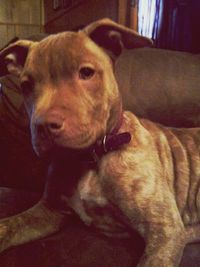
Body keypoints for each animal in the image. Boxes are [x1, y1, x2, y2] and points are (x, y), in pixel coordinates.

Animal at [0, 17, 200, 266]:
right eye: (26, 85)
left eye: (86, 73)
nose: (43, 125)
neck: (92, 157)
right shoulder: (49, 211)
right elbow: (7, 225)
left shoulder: (163, 228)